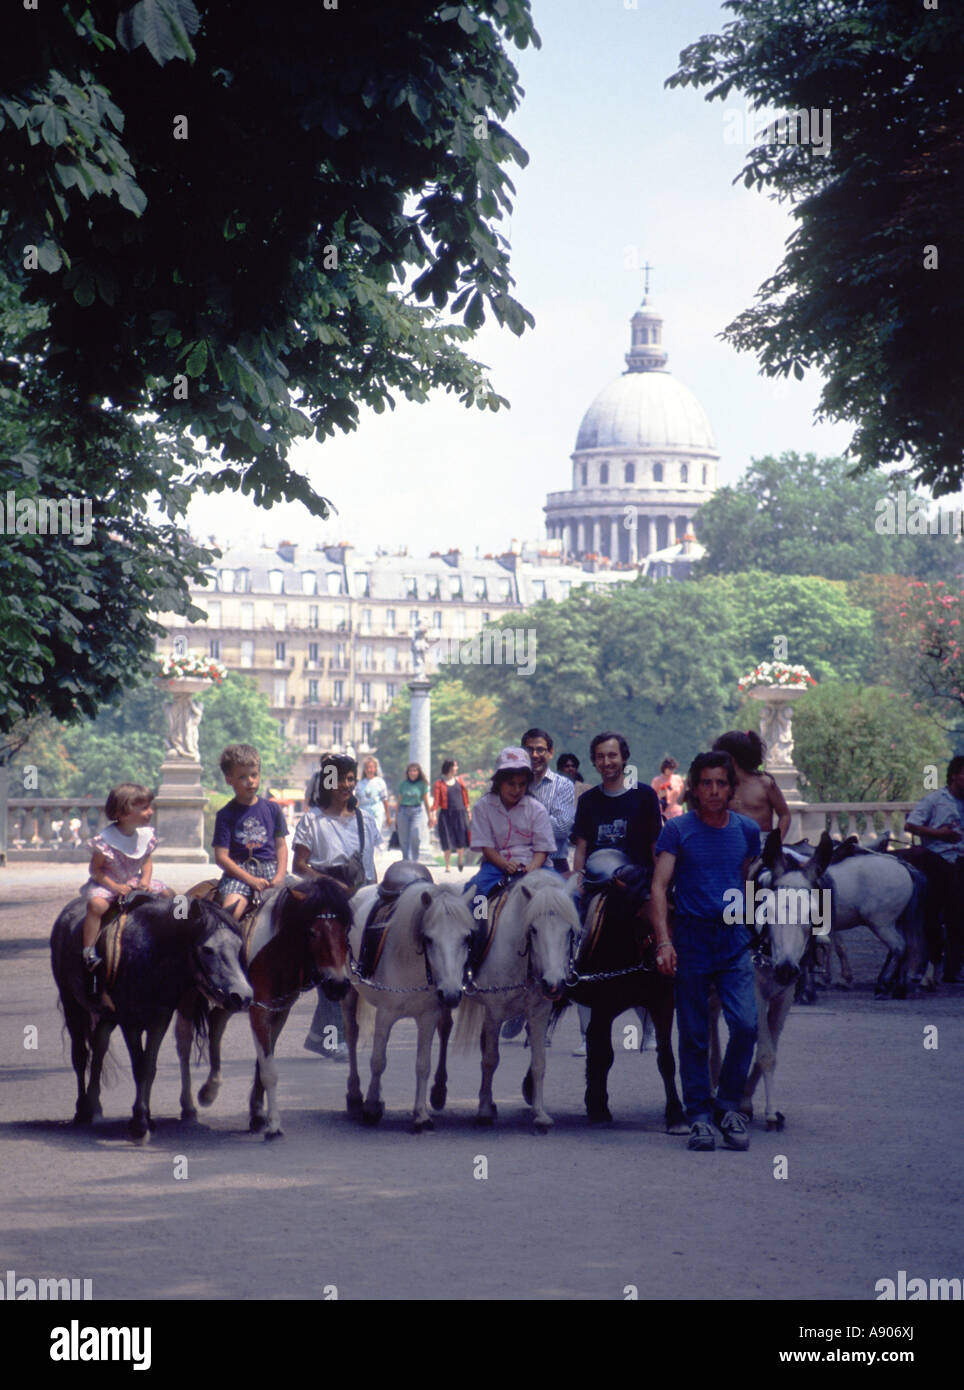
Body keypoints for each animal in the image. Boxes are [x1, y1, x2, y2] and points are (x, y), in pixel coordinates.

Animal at [51, 895, 251, 1145]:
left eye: (239, 946)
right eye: (207, 949)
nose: (242, 996)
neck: (151, 953)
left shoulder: (159, 1020)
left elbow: (150, 1067)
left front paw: (146, 1118)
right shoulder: (130, 1022)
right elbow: (140, 1067)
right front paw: (139, 1124)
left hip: (106, 1015)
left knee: (99, 1047)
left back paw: (95, 1106)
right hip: (72, 1004)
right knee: (80, 1055)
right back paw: (83, 1110)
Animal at [175, 878, 352, 1139]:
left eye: (346, 930)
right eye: (312, 932)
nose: (338, 985)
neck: (276, 951)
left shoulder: (279, 1010)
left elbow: (263, 1062)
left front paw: (258, 1115)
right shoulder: (259, 1010)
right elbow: (269, 1070)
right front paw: (274, 1124)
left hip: (231, 999)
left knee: (216, 1022)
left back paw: (210, 1089)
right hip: (189, 997)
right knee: (184, 1042)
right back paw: (188, 1105)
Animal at [347, 884, 475, 1134]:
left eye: (466, 938)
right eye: (429, 939)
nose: (452, 994)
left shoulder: (428, 1016)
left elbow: (422, 1065)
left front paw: (421, 1116)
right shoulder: (385, 1015)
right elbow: (378, 1061)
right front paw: (371, 1107)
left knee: (445, 1029)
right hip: (348, 993)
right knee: (351, 1035)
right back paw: (355, 1096)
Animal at [455, 872, 580, 1134]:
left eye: (569, 931)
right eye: (533, 929)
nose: (553, 984)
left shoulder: (539, 1013)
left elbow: (539, 1063)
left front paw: (540, 1115)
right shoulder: (494, 1012)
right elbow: (491, 1060)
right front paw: (483, 1112)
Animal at [555, 878, 691, 1128]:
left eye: (672, 913)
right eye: (638, 919)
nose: (663, 963)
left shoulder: (663, 1004)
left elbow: (666, 1058)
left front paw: (676, 1114)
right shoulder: (604, 1008)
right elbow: (604, 1055)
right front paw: (599, 1108)